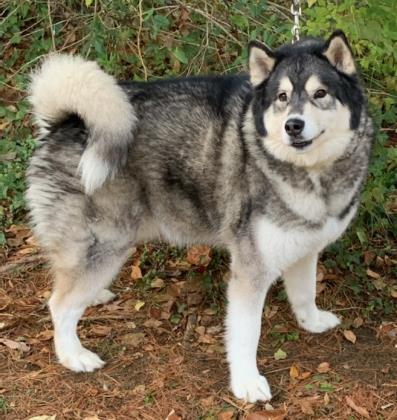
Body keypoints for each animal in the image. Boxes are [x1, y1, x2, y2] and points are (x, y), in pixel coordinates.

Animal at [27, 30, 372, 404]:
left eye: (320, 93)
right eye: (281, 97)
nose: (293, 125)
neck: (311, 172)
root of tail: (66, 123)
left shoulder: (304, 249)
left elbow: (305, 292)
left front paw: (312, 322)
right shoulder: (250, 270)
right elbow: (246, 333)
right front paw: (246, 382)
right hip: (106, 243)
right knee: (59, 304)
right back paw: (73, 355)